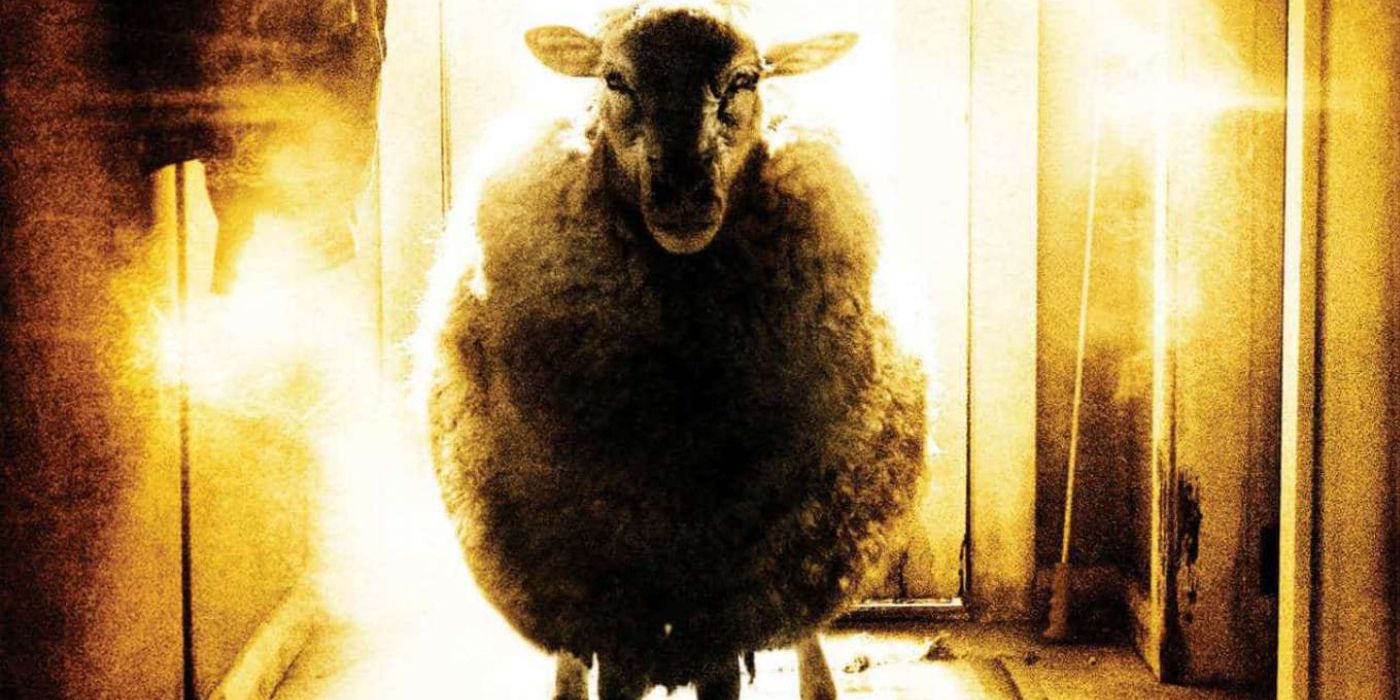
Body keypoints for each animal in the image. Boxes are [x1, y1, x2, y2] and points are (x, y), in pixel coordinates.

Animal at [426, 3, 927, 698]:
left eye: (746, 78)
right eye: (614, 79)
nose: (683, 193)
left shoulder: (727, 606)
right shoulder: (615, 606)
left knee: (805, 634)